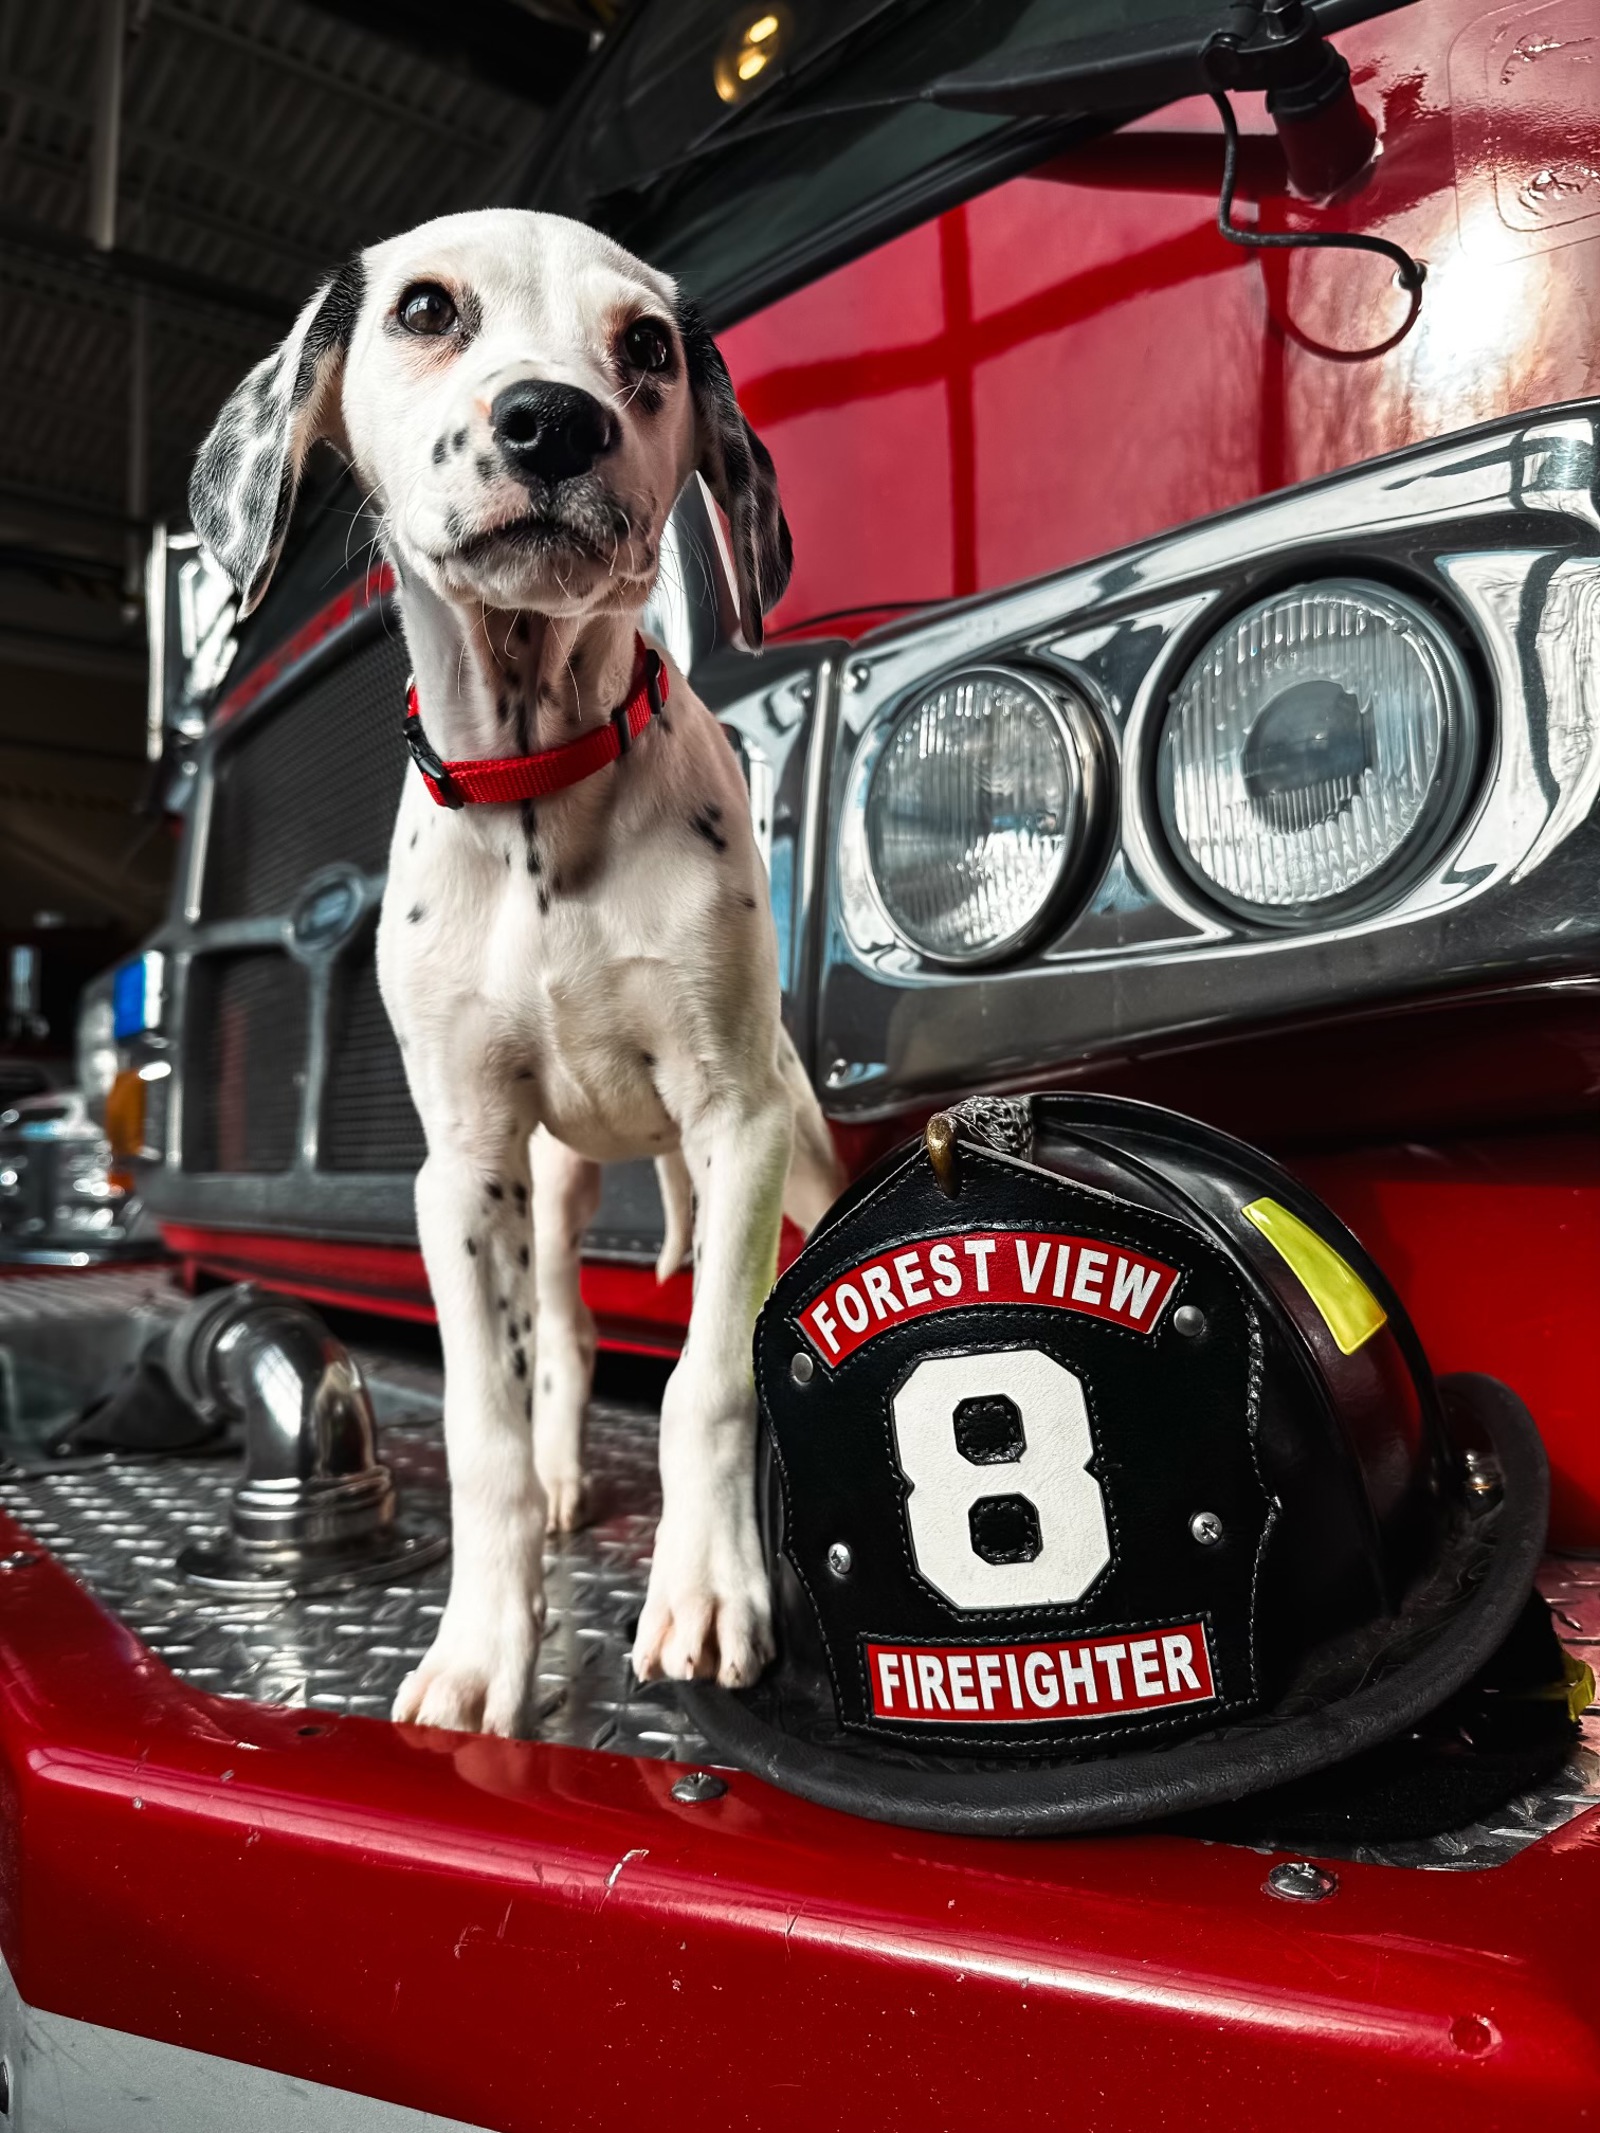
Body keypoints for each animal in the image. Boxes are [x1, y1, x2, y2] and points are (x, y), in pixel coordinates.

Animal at [187, 207, 844, 1731]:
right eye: (428, 309)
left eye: (649, 345)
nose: (555, 422)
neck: (540, 786)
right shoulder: (465, 1169)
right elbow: (485, 1426)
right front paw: (484, 1649)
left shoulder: (738, 1122)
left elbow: (705, 1382)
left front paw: (707, 1588)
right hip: (549, 1188)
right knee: (565, 1338)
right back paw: (555, 1484)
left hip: (792, 1142)